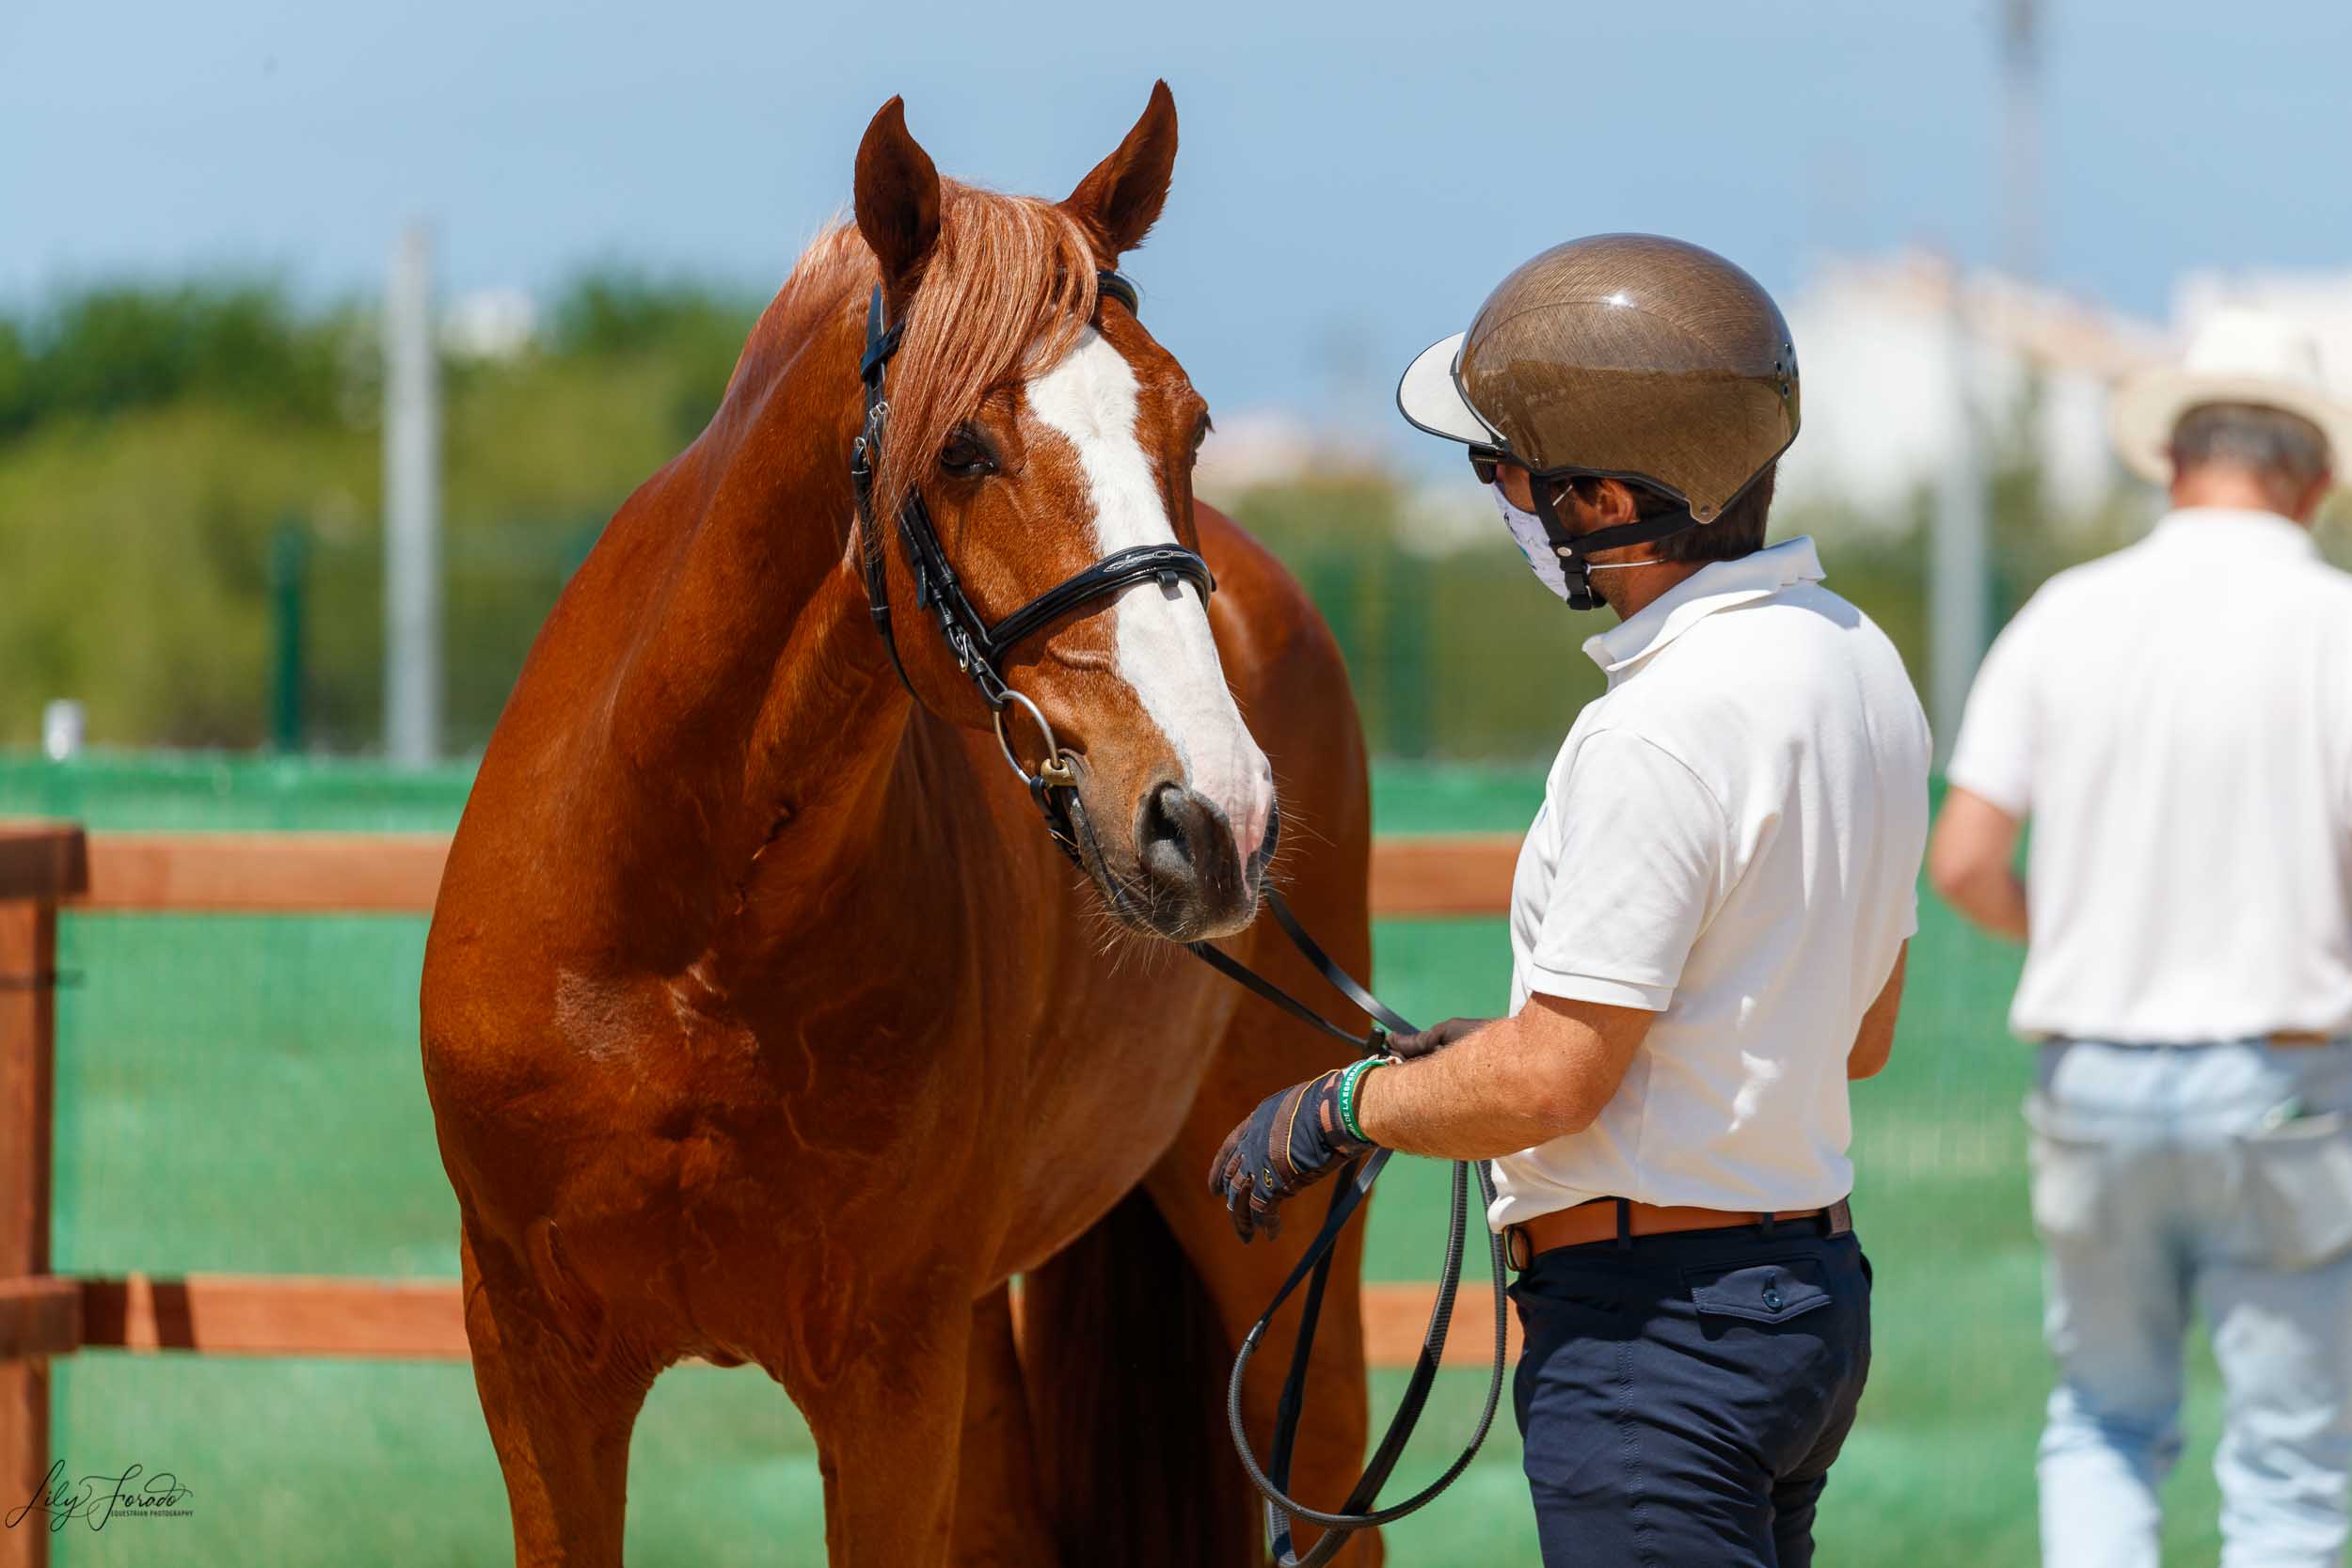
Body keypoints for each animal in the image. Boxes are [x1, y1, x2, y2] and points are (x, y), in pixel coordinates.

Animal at [419, 86, 1374, 1568]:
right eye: (965, 444)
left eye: (1194, 423)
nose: (1216, 818)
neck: (683, 931)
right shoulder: (536, 1364)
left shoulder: (887, 1381)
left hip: (1281, 1271)